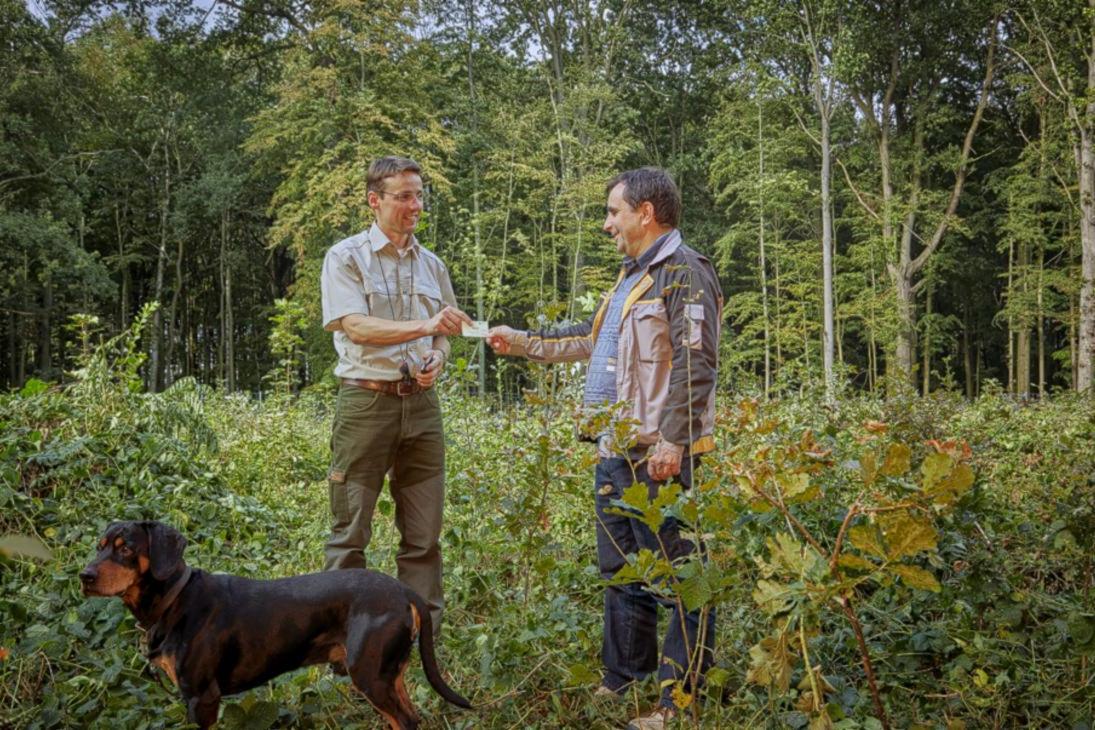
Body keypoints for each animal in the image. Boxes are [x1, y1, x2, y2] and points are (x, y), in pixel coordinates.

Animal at [77, 518, 470, 730]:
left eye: (126, 548)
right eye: (99, 546)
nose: (85, 576)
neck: (174, 599)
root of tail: (403, 590)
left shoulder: (202, 698)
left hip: (370, 674)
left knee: (405, 720)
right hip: (389, 673)